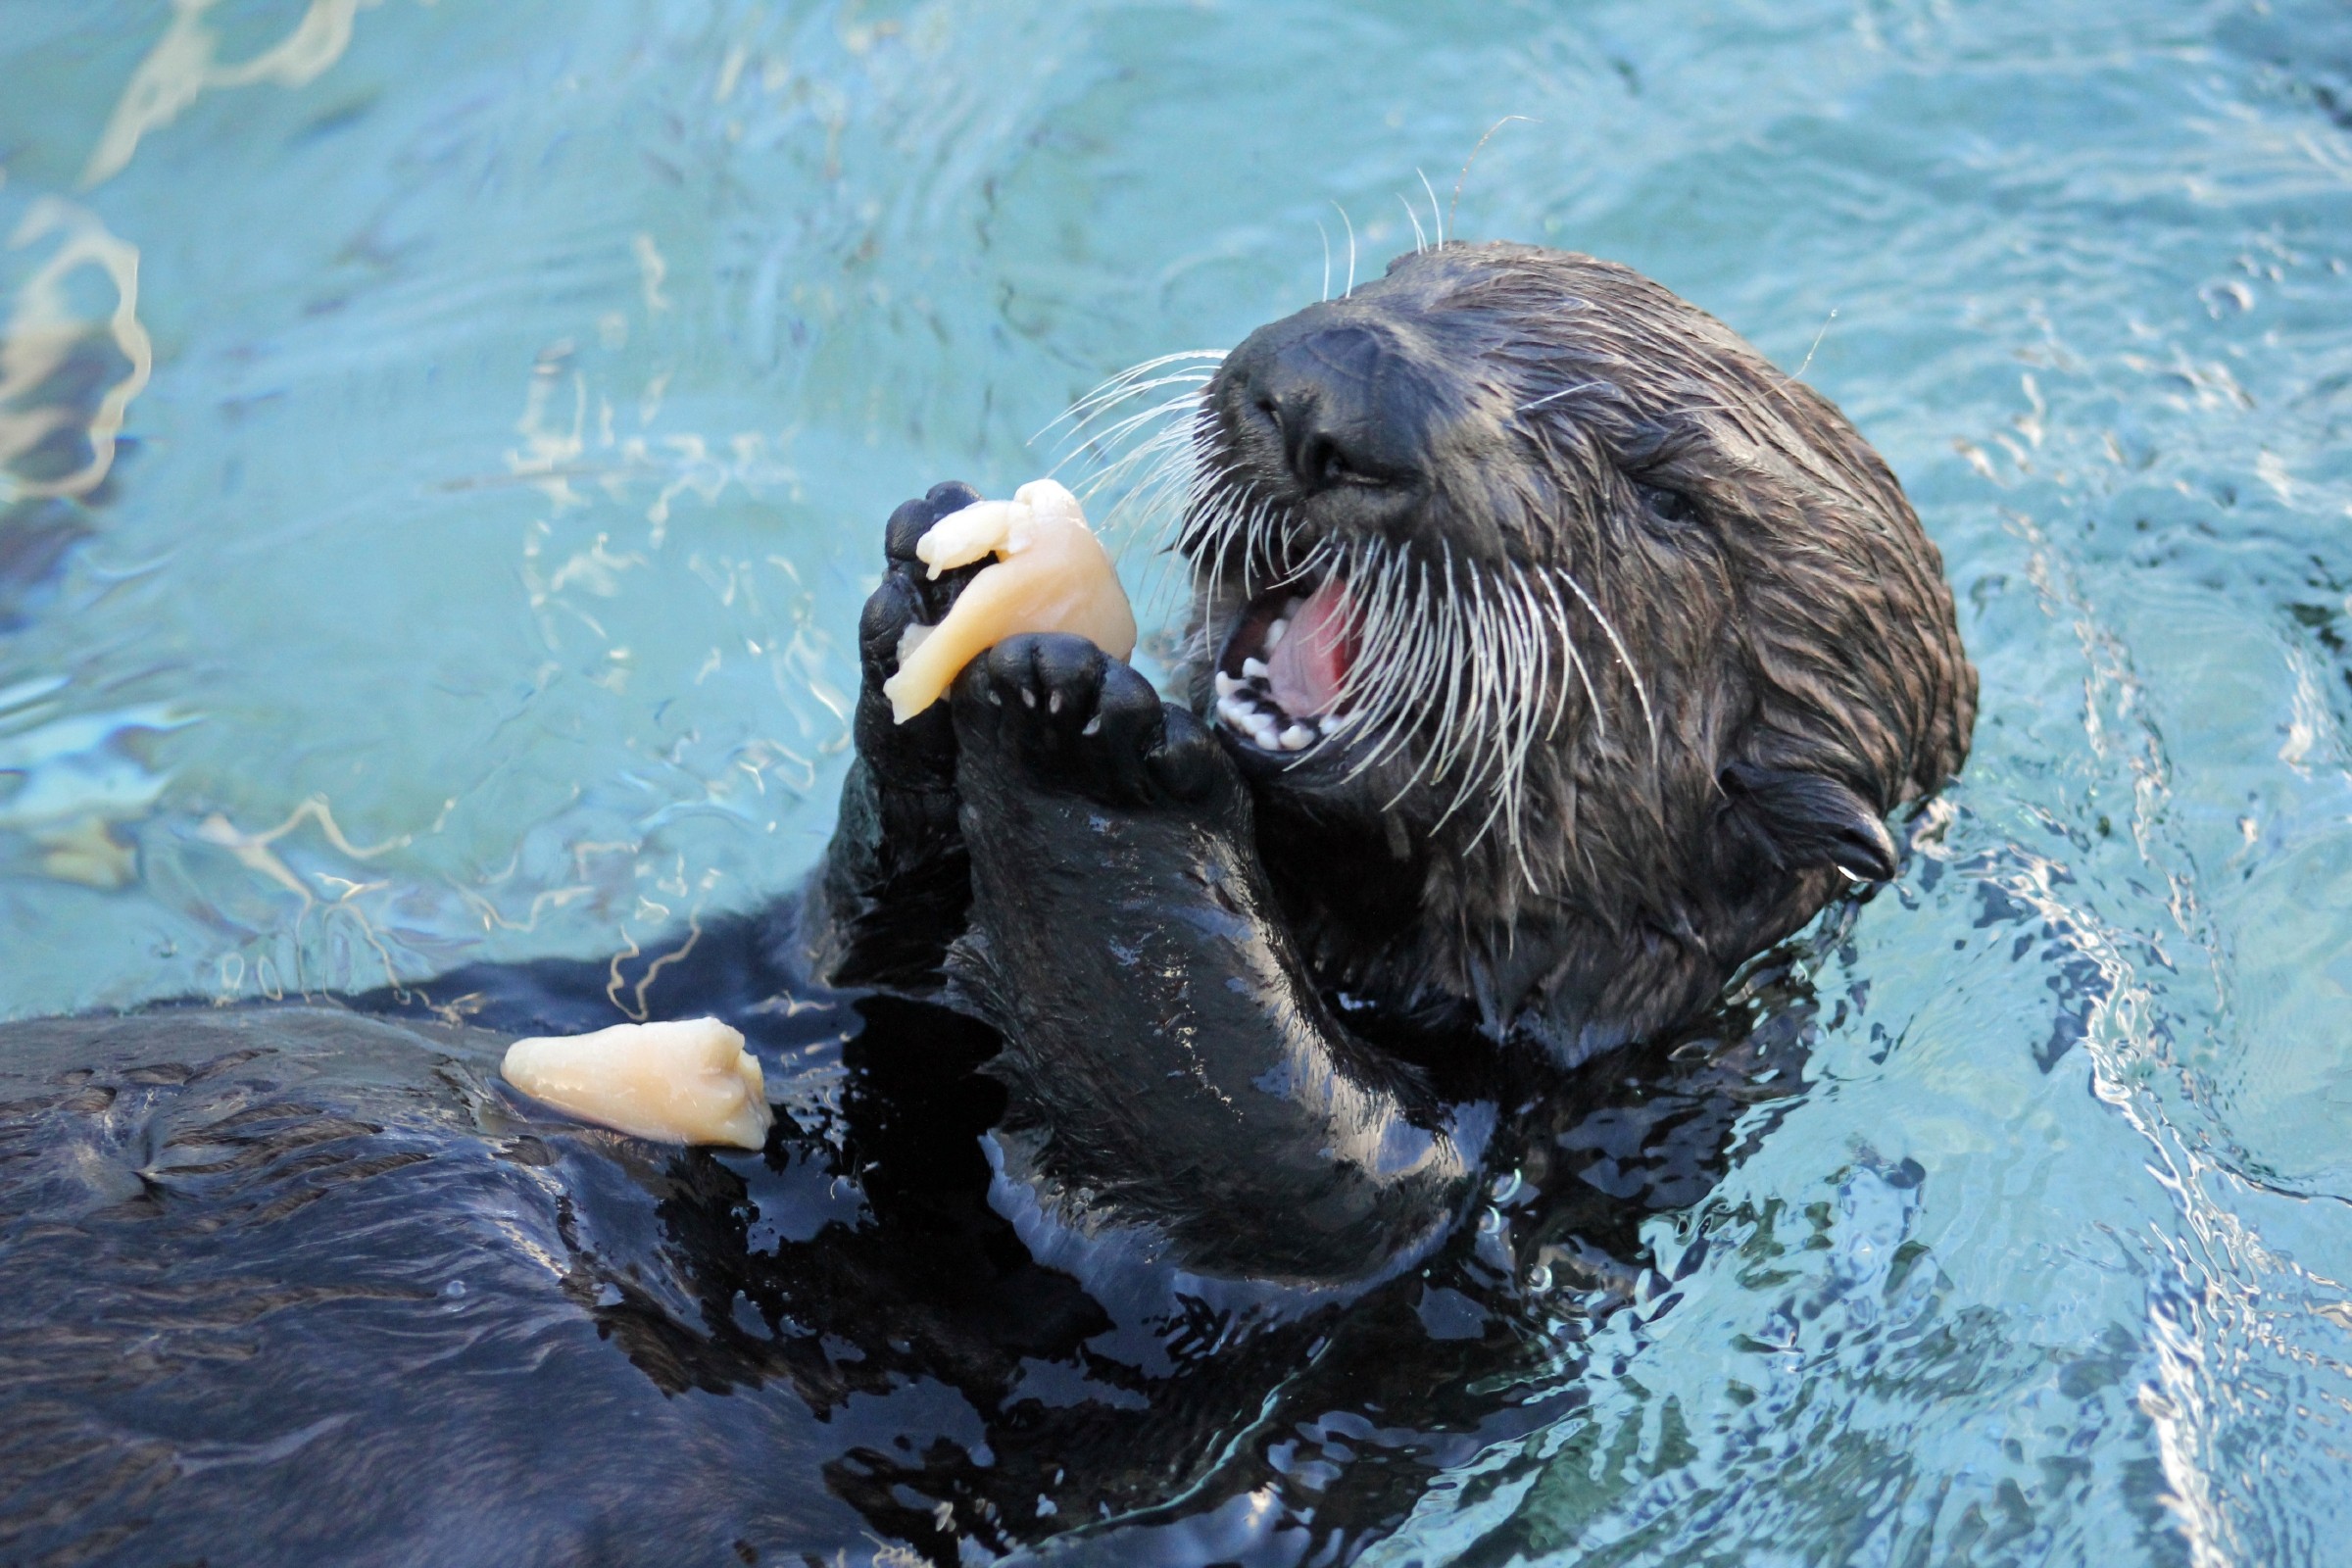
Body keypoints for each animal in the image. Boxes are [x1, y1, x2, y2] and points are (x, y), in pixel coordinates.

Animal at [0, 241, 1971, 1561]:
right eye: (1413, 273)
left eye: (1666, 492)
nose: (1324, 391)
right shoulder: (815, 983)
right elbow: (845, 954)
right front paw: (929, 594)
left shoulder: (1432, 1241)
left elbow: (1278, 1151)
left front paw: (1100, 740)